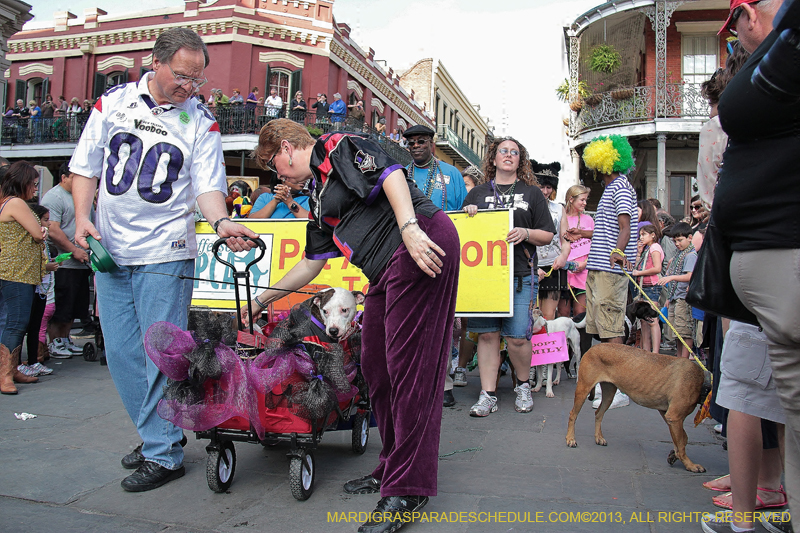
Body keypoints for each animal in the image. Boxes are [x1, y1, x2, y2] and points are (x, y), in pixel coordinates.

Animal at [564, 342, 708, 472]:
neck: (703, 382)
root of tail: (593, 347)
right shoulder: (674, 416)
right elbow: (682, 444)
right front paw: (690, 464)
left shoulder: (667, 414)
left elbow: (683, 438)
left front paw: (674, 455)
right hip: (583, 389)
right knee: (573, 414)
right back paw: (570, 439)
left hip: (609, 393)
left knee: (598, 413)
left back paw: (598, 437)